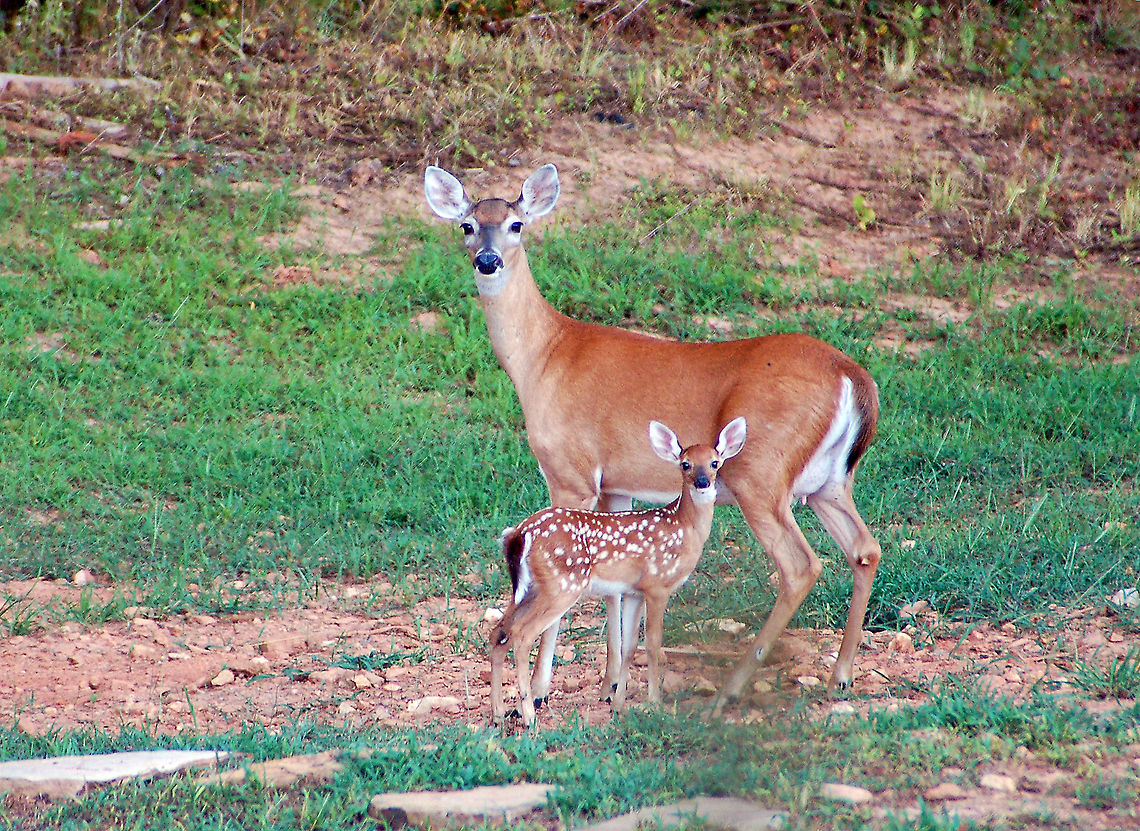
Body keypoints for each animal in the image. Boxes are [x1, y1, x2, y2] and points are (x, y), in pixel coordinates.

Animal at [490, 418, 747, 726]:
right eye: (685, 464)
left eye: (714, 462)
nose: (702, 482)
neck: (683, 527)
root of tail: (519, 534)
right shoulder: (658, 585)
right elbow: (653, 645)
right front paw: (655, 704)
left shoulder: (634, 590)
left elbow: (629, 646)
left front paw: (619, 704)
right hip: (562, 585)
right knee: (521, 635)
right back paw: (528, 714)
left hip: (530, 588)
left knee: (498, 631)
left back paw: (498, 713)